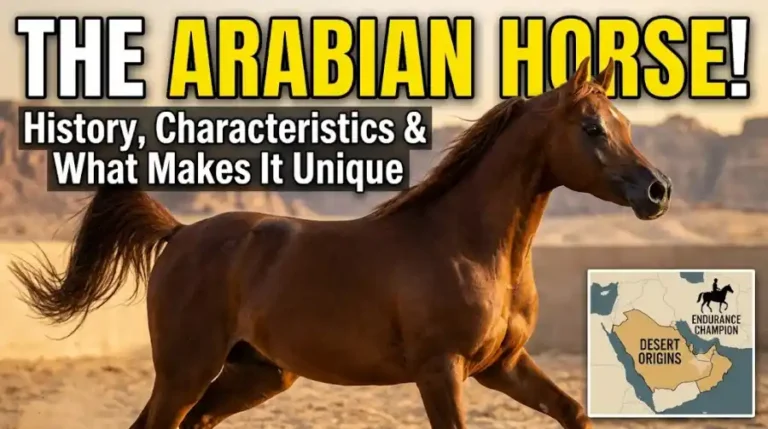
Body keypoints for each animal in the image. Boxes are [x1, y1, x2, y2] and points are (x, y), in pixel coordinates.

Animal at [10, 57, 671, 429]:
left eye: (625, 124)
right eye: (592, 127)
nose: (657, 191)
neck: (471, 247)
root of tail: (181, 233)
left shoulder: (501, 366)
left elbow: (574, 411)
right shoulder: (442, 371)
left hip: (256, 374)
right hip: (185, 369)